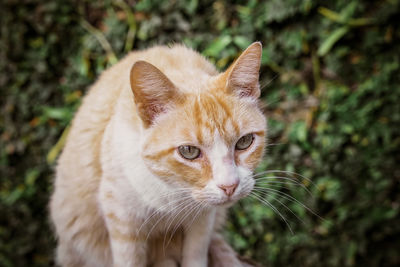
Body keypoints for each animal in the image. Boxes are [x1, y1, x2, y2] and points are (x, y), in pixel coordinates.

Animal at [50, 42, 266, 267]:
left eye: (244, 142)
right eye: (189, 151)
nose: (229, 186)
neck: (174, 191)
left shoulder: (204, 218)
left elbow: (196, 253)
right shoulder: (121, 217)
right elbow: (129, 260)